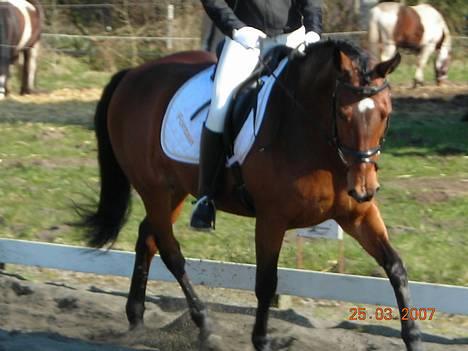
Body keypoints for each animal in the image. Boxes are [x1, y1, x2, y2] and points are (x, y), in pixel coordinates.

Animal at [77, 39, 424, 351]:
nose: (365, 188)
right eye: (343, 114)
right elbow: (267, 282)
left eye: (386, 112)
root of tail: (135, 73)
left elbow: (395, 266)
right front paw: (262, 340)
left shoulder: (356, 214)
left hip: (173, 191)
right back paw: (204, 325)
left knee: (147, 238)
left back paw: (136, 317)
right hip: (155, 189)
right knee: (170, 251)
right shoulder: (272, 219)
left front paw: (413, 338)